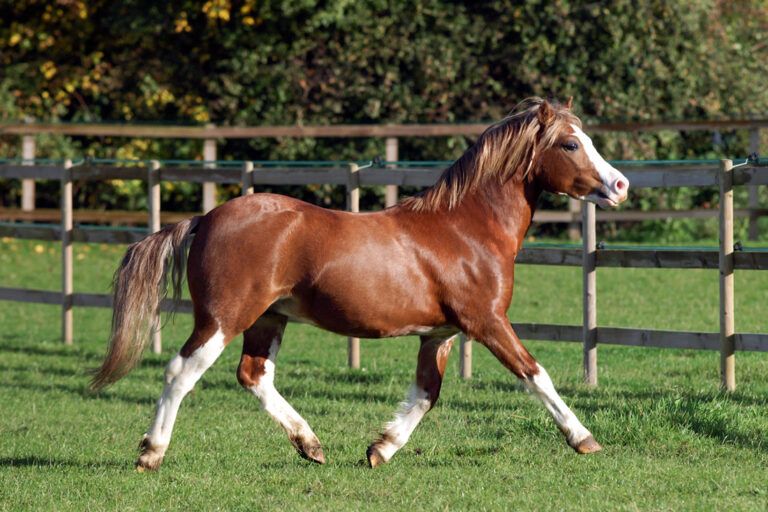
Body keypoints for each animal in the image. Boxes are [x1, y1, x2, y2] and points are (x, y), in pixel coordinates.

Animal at [91, 98, 629, 471]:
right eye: (570, 144)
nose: (620, 185)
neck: (464, 229)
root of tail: (206, 218)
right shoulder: (488, 322)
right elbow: (535, 374)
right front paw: (584, 439)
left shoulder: (439, 334)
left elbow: (426, 393)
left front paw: (380, 449)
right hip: (224, 317)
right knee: (181, 372)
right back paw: (151, 453)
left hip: (268, 318)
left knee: (254, 375)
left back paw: (311, 445)